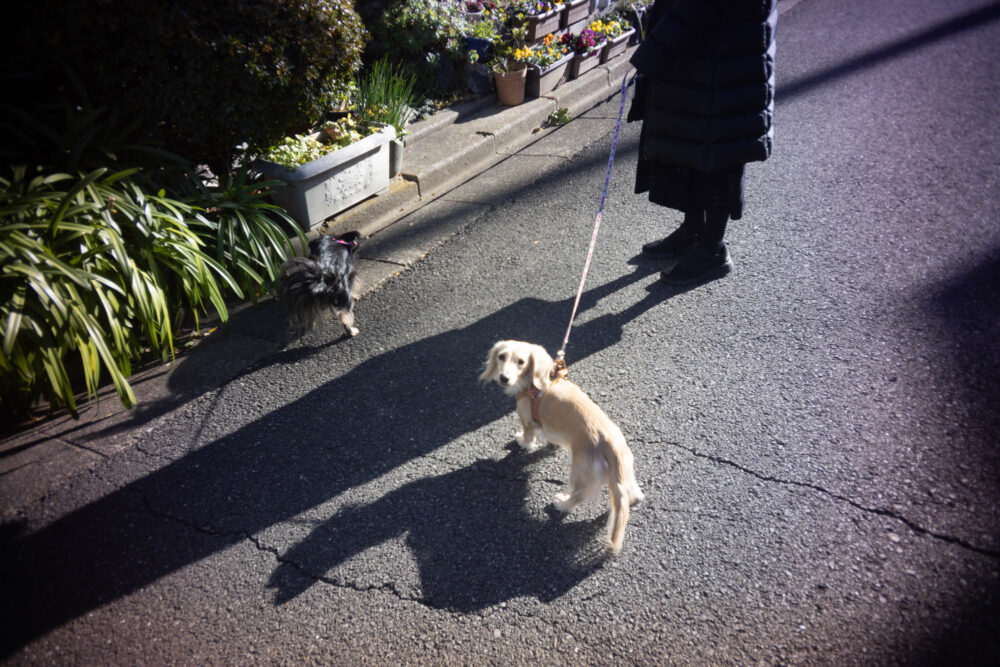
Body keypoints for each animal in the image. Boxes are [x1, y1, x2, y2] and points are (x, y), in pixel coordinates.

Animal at [480, 340, 644, 553]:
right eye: (501, 356)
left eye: (521, 361)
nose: (504, 378)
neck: (534, 385)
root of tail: (612, 445)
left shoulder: (527, 419)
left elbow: (528, 436)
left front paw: (522, 442)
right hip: (624, 473)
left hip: (580, 471)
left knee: (579, 495)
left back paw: (563, 503)